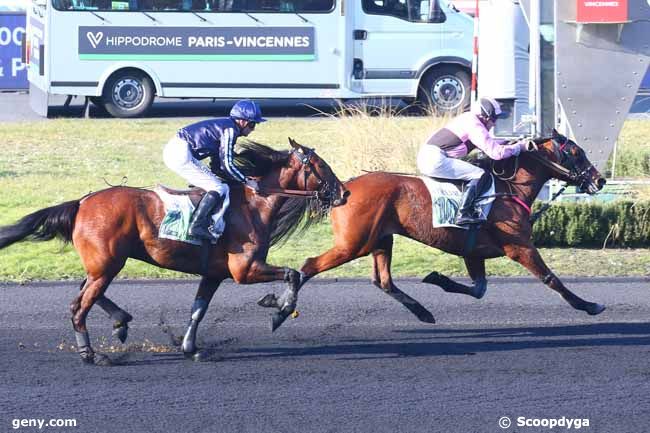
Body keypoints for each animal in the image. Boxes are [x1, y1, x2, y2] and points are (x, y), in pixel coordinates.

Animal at [0, 139, 346, 364]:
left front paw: (191, 348)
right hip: (108, 264)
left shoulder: (214, 274)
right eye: (321, 165)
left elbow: (198, 310)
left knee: (87, 291)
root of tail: (82, 202)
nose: (343, 192)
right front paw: (279, 308)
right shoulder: (244, 270)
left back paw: (121, 321)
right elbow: (293, 273)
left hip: (103, 264)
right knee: (78, 305)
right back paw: (91, 353)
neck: (252, 205)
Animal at [260, 129, 604, 328]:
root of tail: (343, 187)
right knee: (308, 265)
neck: (507, 189)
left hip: (381, 239)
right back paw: (280, 308)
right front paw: (590, 304)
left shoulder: (474, 252)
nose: (599, 180)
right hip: (353, 243)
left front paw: (437, 278)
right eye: (576, 152)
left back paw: (423, 312)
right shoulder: (518, 246)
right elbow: (551, 279)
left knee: (383, 281)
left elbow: (478, 289)